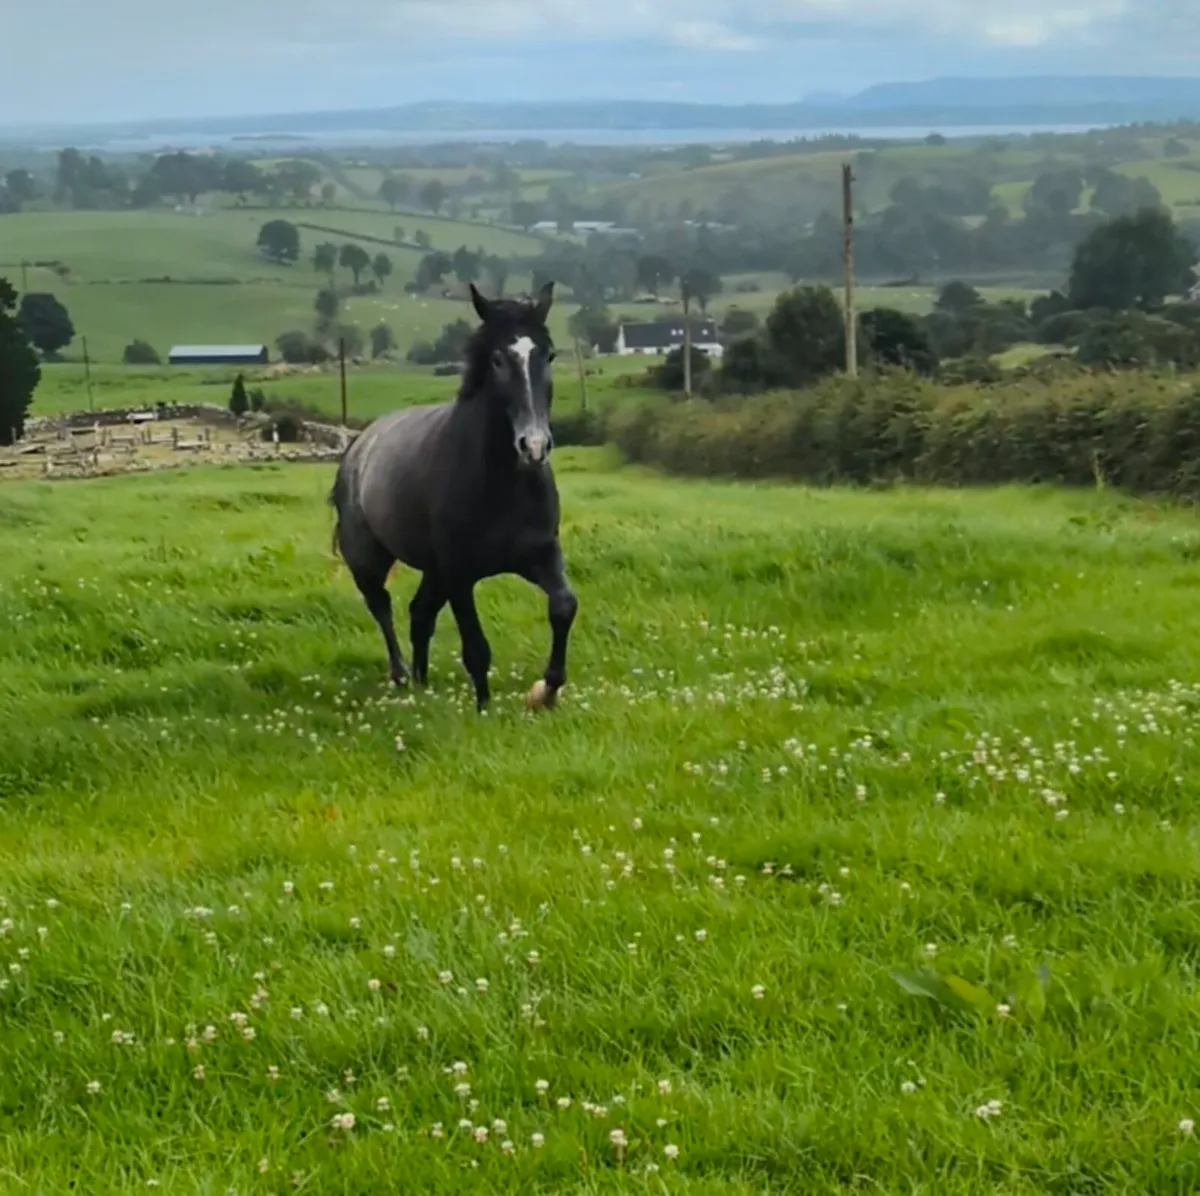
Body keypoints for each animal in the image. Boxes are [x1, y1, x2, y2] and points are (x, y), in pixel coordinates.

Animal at [329, 280, 578, 714]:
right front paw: (484, 709)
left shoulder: (540, 554)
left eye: (548, 355)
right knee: (382, 607)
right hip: (371, 560)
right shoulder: (460, 573)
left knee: (419, 614)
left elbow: (564, 605)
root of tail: (358, 446)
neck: (502, 484)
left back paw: (421, 681)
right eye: (497, 359)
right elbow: (476, 648)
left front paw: (546, 691)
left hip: (434, 572)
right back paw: (401, 676)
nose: (533, 446)